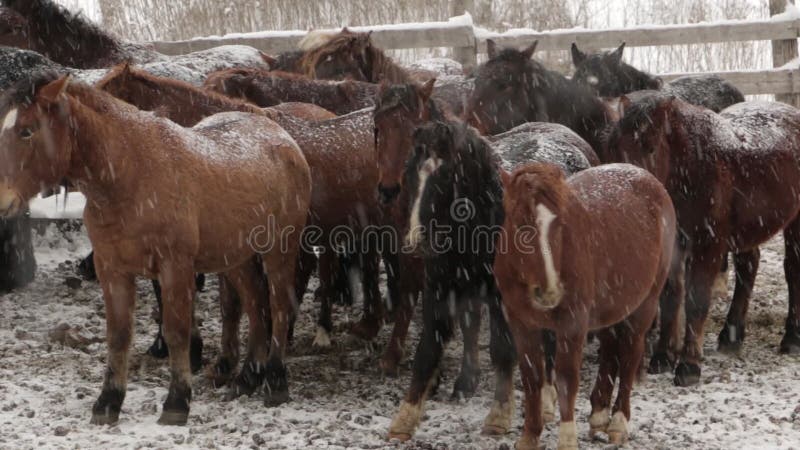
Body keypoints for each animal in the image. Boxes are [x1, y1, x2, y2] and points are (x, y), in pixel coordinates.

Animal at [0, 73, 310, 422]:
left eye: (27, 130)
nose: (3, 201)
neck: (130, 175)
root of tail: (282, 136)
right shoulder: (112, 269)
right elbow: (118, 334)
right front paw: (108, 401)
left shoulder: (175, 267)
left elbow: (176, 331)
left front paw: (177, 402)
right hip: (235, 257)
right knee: (256, 304)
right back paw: (246, 378)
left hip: (280, 249)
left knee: (280, 306)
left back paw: (275, 380)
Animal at [494, 163, 676, 448]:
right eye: (520, 223)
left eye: (560, 224)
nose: (549, 289)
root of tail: (646, 175)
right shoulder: (520, 323)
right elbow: (532, 377)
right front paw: (529, 436)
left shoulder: (573, 323)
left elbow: (567, 377)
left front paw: (567, 438)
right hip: (611, 306)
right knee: (610, 349)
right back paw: (600, 413)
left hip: (645, 304)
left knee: (630, 354)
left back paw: (618, 422)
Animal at [608, 92, 800, 386]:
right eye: (615, 147)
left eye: (650, 147)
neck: (693, 166)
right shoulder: (674, 244)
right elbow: (671, 296)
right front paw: (662, 356)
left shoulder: (708, 245)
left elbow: (696, 300)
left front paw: (688, 365)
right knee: (748, 267)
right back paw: (732, 337)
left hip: (795, 223)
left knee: (792, 270)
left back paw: (791, 338)